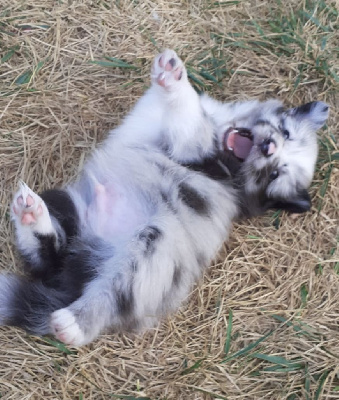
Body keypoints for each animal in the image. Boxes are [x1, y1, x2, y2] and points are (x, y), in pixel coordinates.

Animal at [0, 49, 330, 344]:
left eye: (274, 174)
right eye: (285, 132)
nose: (268, 148)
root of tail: (81, 272)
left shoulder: (193, 150)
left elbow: (190, 117)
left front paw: (175, 81)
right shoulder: (152, 115)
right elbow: (176, 103)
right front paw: (170, 73)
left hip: (149, 249)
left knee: (110, 293)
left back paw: (74, 323)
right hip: (69, 205)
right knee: (49, 256)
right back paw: (31, 213)